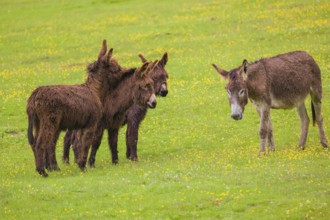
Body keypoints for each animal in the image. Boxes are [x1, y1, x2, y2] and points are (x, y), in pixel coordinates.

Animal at [26, 40, 131, 177]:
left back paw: (42, 169)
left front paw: (80, 164)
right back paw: (43, 172)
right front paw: (82, 166)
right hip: (50, 122)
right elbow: (86, 144)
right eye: (116, 69)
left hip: (39, 123)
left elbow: (79, 145)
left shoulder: (81, 126)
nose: (129, 73)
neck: (95, 90)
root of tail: (33, 96)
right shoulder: (91, 124)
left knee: (35, 144)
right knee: (40, 144)